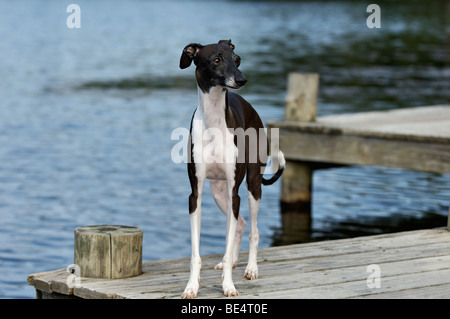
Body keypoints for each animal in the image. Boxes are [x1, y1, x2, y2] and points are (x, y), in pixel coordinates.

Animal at [179, 40, 284, 300]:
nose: (241, 79)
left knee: (253, 230)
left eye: (237, 59)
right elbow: (196, 253)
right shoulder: (195, 195)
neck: (214, 121)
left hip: (252, 187)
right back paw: (234, 261)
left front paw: (228, 285)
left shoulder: (234, 191)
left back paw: (251, 269)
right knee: (240, 225)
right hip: (219, 193)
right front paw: (191, 286)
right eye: (216, 60)